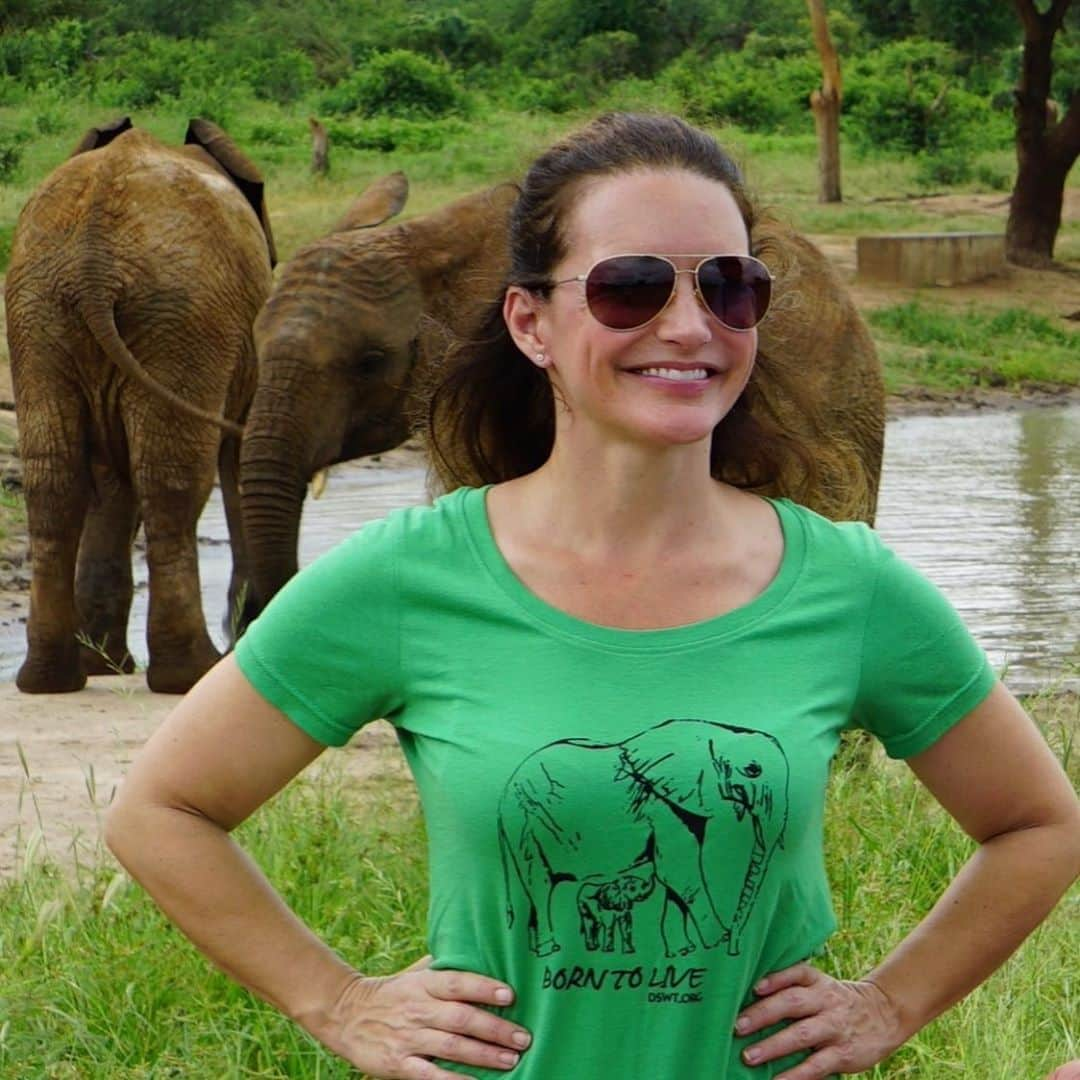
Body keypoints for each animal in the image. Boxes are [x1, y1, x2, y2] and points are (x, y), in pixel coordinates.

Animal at [6, 116, 276, 691]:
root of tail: (93, 258)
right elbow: (237, 459)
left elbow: (108, 480)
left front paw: (104, 665)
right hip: (181, 316)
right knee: (171, 479)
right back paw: (190, 672)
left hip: (43, 314)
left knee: (56, 477)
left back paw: (52, 678)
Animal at [494, 721, 786, 959]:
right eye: (753, 769)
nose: (734, 948)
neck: (714, 733)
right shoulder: (662, 808)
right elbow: (678, 876)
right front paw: (717, 941)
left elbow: (674, 886)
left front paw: (684, 951)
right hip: (524, 823)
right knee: (540, 885)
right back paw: (548, 949)